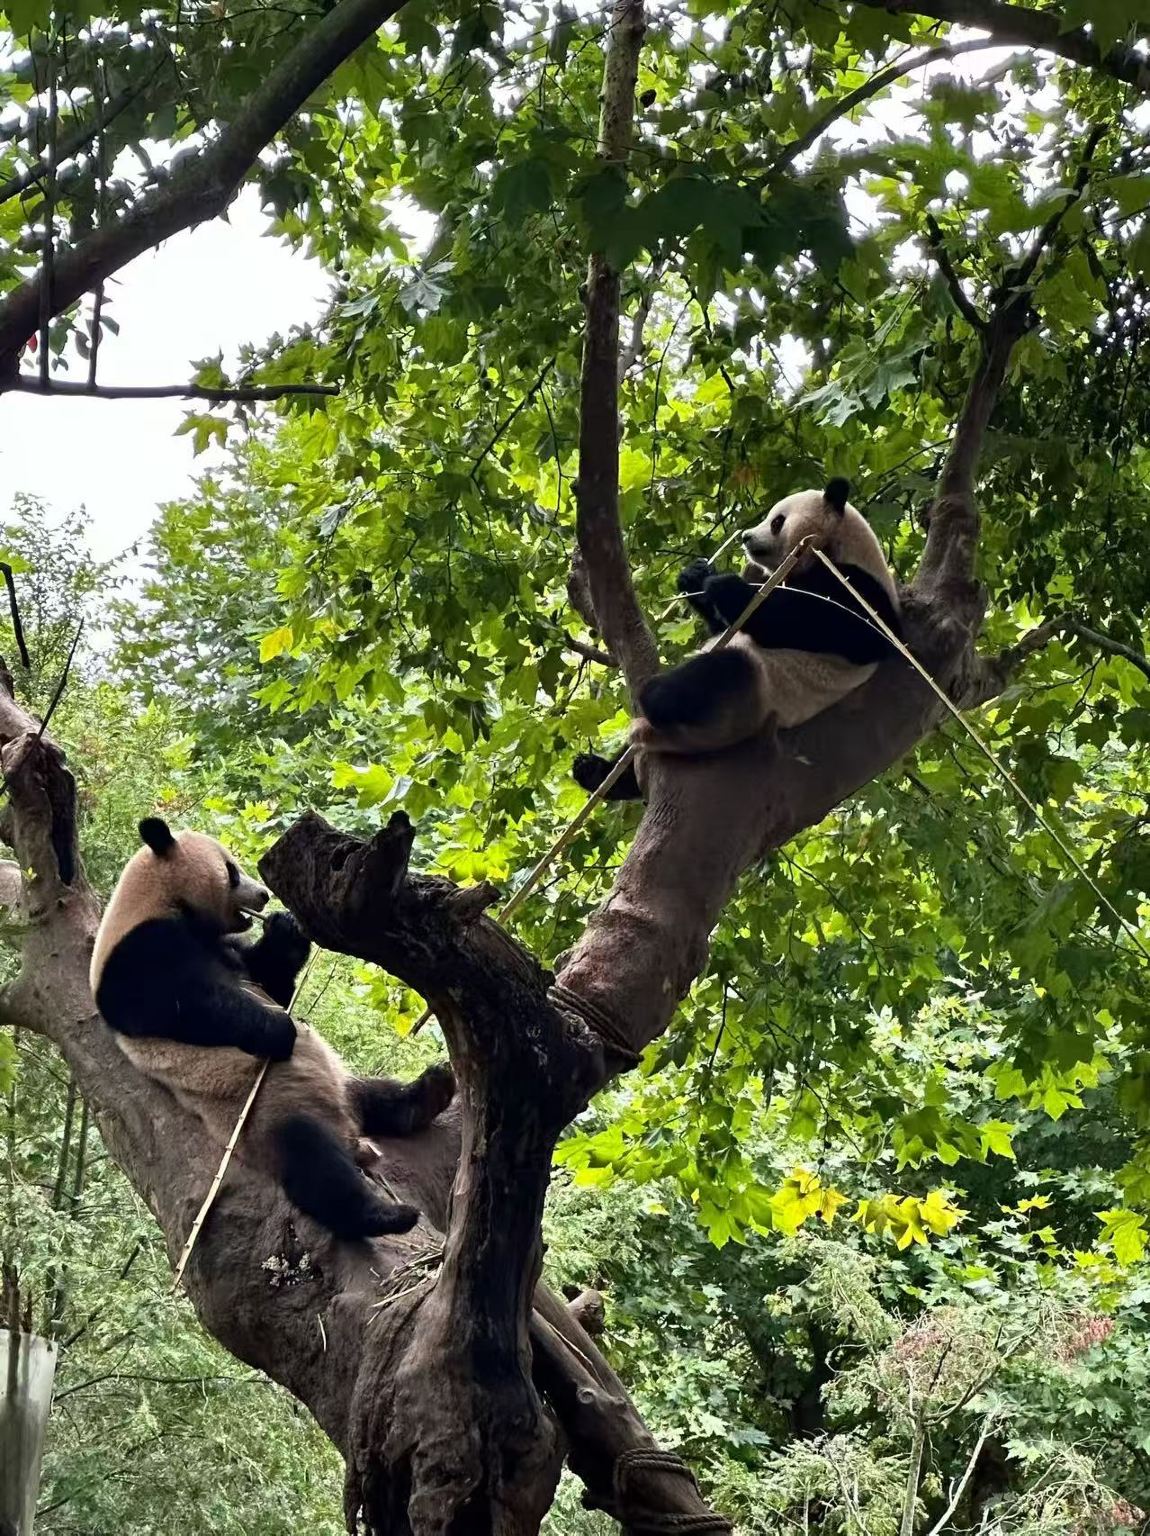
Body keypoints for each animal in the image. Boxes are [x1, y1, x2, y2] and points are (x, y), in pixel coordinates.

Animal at [90, 817, 456, 1240]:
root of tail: (349, 1130)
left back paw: (428, 1091)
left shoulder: (225, 947)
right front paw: (281, 1030)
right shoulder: (136, 953)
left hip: (336, 1082)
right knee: (313, 1161)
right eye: (232, 871)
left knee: (375, 1094)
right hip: (269, 1109)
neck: (155, 899)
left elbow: (268, 979)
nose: (264, 896)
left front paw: (287, 929)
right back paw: (385, 1215)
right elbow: (184, 1005)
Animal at [573, 479, 901, 801]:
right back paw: (595, 772)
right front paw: (697, 575)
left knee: (716, 673)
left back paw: (655, 696)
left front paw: (729, 588)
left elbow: (850, 630)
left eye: (777, 522)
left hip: (756, 689)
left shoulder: (858, 584)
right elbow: (725, 623)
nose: (745, 537)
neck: (834, 546)